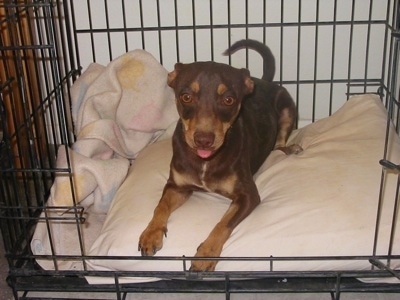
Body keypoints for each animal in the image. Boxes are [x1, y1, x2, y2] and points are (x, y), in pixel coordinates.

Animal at [139, 38, 302, 270]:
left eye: (229, 100)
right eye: (186, 96)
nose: (204, 139)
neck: (205, 161)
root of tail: (262, 81)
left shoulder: (248, 196)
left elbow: (224, 223)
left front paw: (206, 253)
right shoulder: (177, 186)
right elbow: (160, 206)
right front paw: (151, 234)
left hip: (287, 108)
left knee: (279, 143)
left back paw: (290, 149)